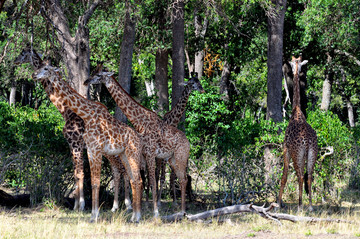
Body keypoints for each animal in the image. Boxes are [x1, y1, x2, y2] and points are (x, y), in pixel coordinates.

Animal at [15, 47, 132, 212]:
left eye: (23, 53)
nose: (15, 61)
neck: (66, 111)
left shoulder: (76, 144)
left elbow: (79, 173)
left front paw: (80, 205)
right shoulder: (74, 146)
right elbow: (76, 173)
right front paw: (77, 204)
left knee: (122, 169)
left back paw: (127, 205)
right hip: (110, 151)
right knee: (118, 170)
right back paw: (118, 205)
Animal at [31, 62, 143, 221]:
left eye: (46, 69)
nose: (34, 75)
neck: (86, 114)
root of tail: (139, 139)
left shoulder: (92, 149)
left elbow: (93, 181)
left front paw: (90, 212)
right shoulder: (89, 150)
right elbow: (90, 180)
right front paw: (92, 214)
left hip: (131, 153)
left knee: (136, 179)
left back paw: (134, 214)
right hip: (123, 155)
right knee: (132, 178)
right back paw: (133, 215)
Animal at [85, 70, 191, 217]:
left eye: (99, 75)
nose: (86, 81)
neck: (140, 122)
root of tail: (188, 143)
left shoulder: (150, 154)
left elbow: (152, 181)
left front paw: (155, 212)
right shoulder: (146, 155)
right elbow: (146, 180)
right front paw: (144, 209)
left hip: (181, 157)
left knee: (183, 179)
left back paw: (182, 211)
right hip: (173, 159)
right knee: (181, 179)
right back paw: (181, 211)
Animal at [278, 55, 318, 211]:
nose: (297, 69)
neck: (296, 110)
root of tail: (307, 142)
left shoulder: (285, 148)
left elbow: (284, 177)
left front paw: (278, 203)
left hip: (297, 154)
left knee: (300, 175)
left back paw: (300, 205)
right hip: (312, 153)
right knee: (309, 176)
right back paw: (311, 206)